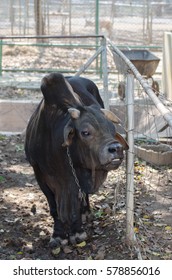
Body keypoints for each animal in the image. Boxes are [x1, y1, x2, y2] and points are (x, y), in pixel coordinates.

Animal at [24, 72, 128, 245]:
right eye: (85, 132)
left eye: (112, 129)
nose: (116, 148)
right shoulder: (40, 175)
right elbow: (54, 208)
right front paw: (58, 234)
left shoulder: (77, 180)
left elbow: (76, 206)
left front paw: (77, 232)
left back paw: (86, 212)